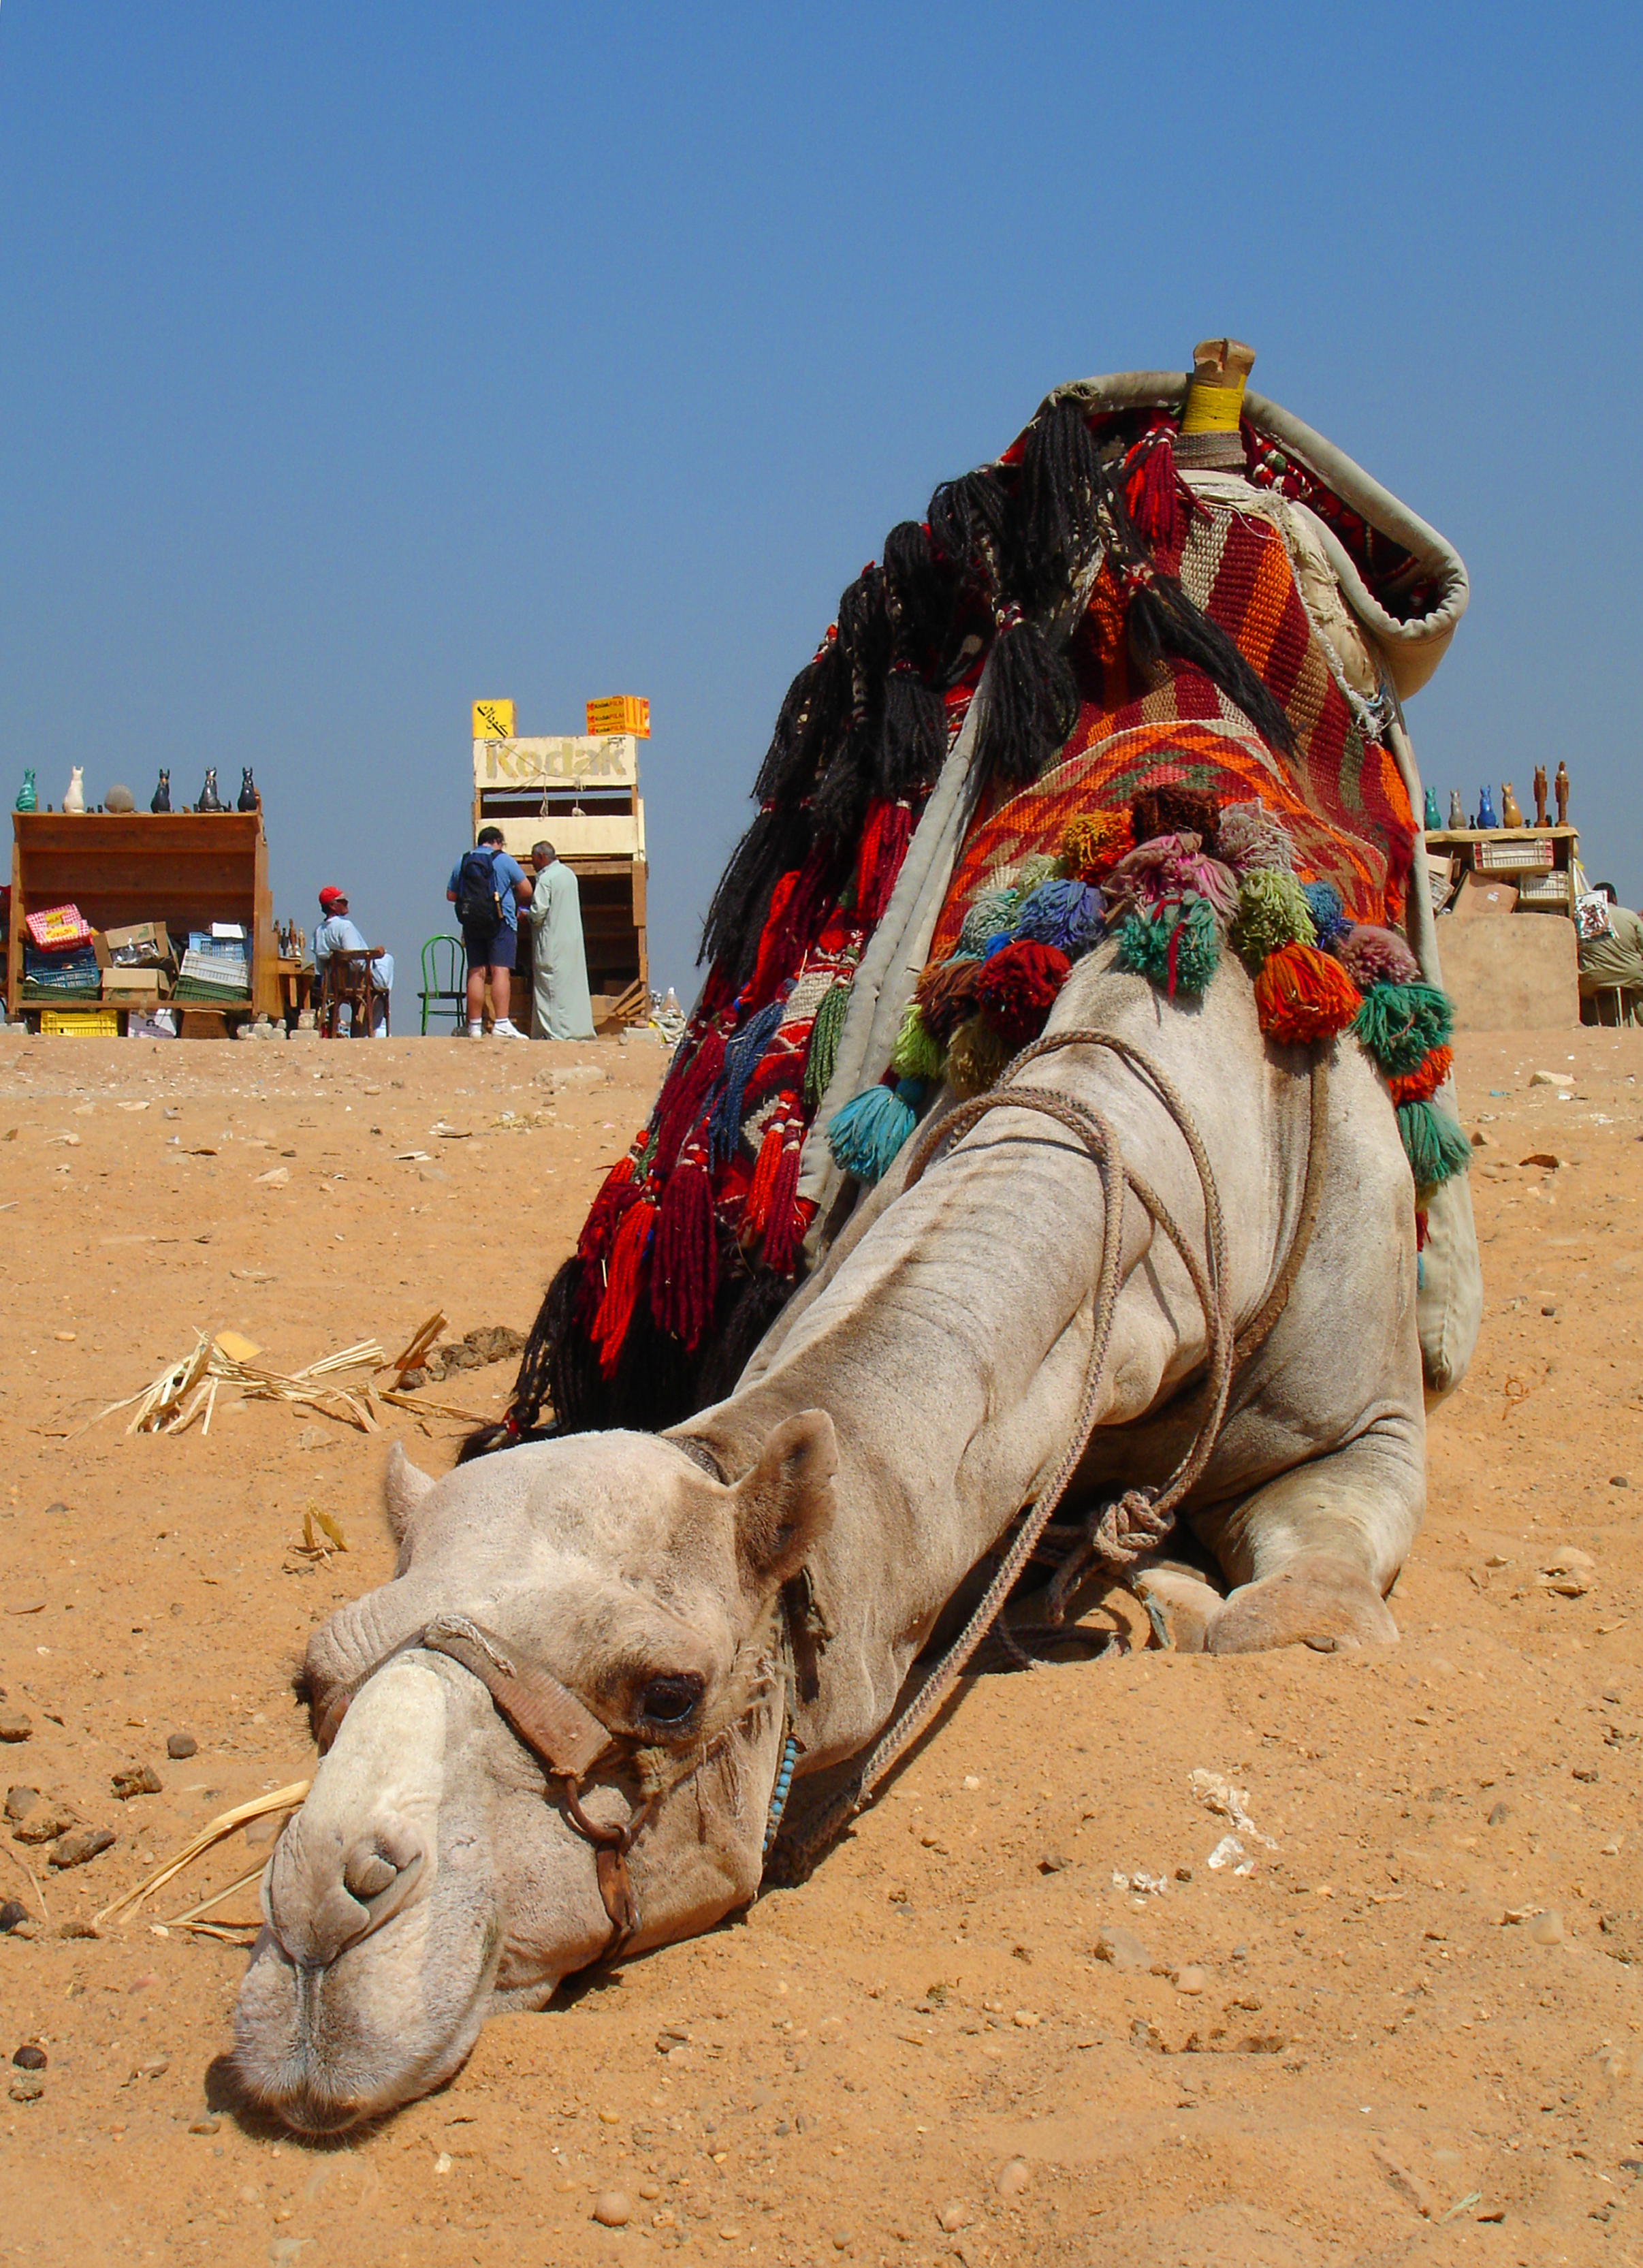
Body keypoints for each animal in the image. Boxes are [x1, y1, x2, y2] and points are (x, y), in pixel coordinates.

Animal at [236, 934, 1432, 2122]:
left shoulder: (1366, 1429)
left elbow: (1296, 1604)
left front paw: (1207, 1604)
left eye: (668, 1694)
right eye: (312, 1682)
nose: (318, 1924)